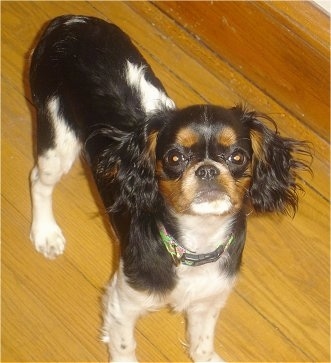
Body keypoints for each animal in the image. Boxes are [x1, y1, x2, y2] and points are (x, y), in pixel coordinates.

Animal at [29, 15, 312, 363]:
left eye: (237, 157)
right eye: (175, 158)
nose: (207, 169)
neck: (196, 244)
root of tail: (67, 20)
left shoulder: (209, 300)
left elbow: (202, 342)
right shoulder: (123, 301)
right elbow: (124, 346)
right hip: (58, 138)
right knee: (39, 181)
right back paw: (45, 233)